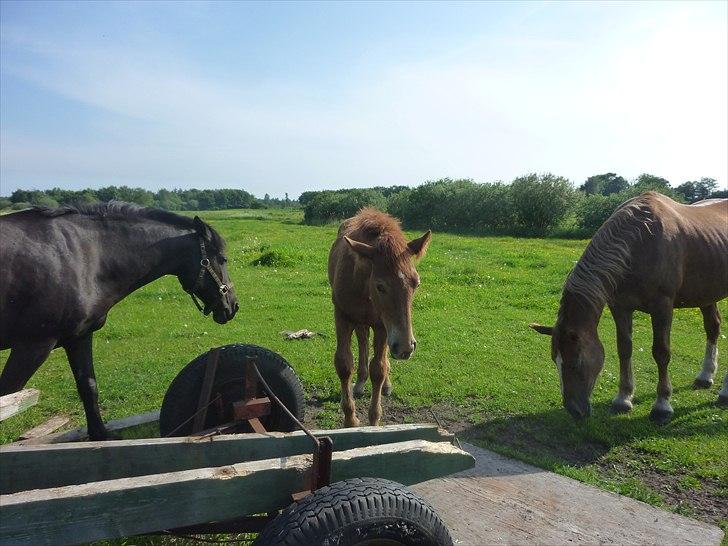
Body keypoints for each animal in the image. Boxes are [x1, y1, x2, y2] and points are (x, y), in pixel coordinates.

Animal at [0, 203, 239, 438]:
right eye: (223, 259)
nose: (233, 306)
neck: (85, 257)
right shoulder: (32, 346)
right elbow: (8, 399)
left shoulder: (79, 337)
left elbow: (88, 387)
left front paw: (100, 436)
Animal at [330, 207, 432, 424]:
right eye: (380, 286)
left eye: (416, 283)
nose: (406, 347)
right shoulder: (342, 315)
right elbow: (344, 364)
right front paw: (350, 420)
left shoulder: (382, 325)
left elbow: (379, 368)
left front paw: (374, 420)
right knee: (362, 339)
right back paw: (360, 382)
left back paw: (386, 385)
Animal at [532, 192, 724, 424]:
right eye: (555, 360)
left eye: (576, 362)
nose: (574, 411)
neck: (641, 241)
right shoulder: (620, 307)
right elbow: (624, 349)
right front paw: (623, 399)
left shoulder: (662, 307)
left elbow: (661, 353)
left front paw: (662, 406)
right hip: (706, 294)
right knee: (712, 327)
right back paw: (705, 376)